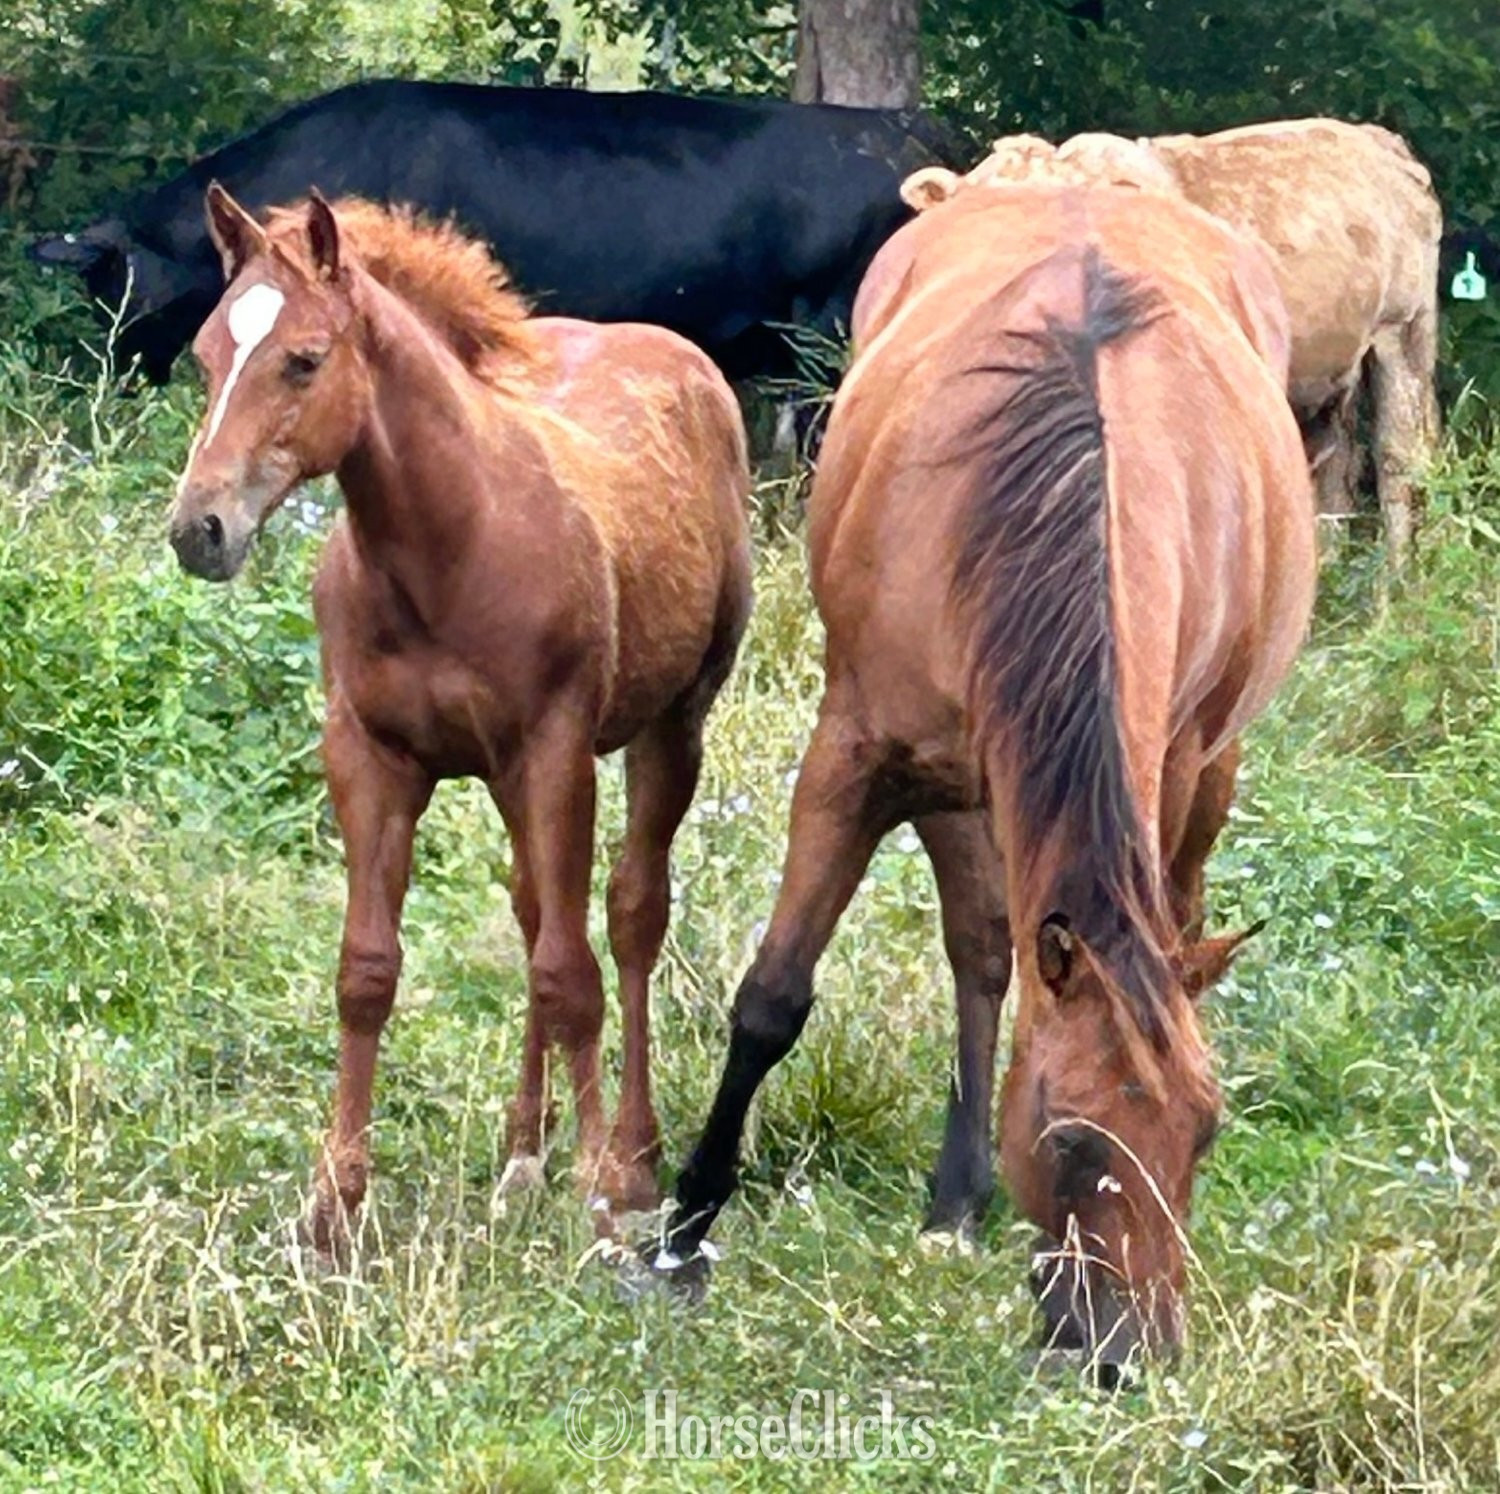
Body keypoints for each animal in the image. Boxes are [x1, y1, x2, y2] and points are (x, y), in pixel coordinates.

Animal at [167, 184, 752, 1254]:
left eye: (303, 359)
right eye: (206, 355)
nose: (201, 529)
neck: (452, 545)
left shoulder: (556, 754)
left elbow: (573, 974)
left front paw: (599, 1199)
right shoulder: (370, 757)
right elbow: (368, 970)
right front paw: (334, 1207)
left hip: (670, 728)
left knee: (630, 915)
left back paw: (635, 1158)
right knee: (534, 911)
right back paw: (523, 1155)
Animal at [663, 183, 1316, 1374]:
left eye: (1203, 1134)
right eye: (1070, 1138)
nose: (1126, 1354)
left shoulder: (1155, 772)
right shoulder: (859, 754)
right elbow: (774, 998)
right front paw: (683, 1229)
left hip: (1189, 776)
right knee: (980, 952)